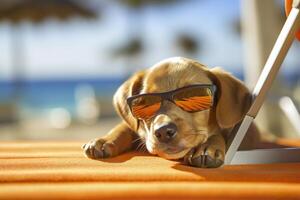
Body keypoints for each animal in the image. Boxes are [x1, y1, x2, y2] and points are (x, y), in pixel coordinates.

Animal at [82, 57, 260, 168]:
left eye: (193, 95)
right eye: (145, 102)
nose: (163, 132)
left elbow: (217, 134)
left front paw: (207, 147)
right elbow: (124, 127)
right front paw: (104, 140)